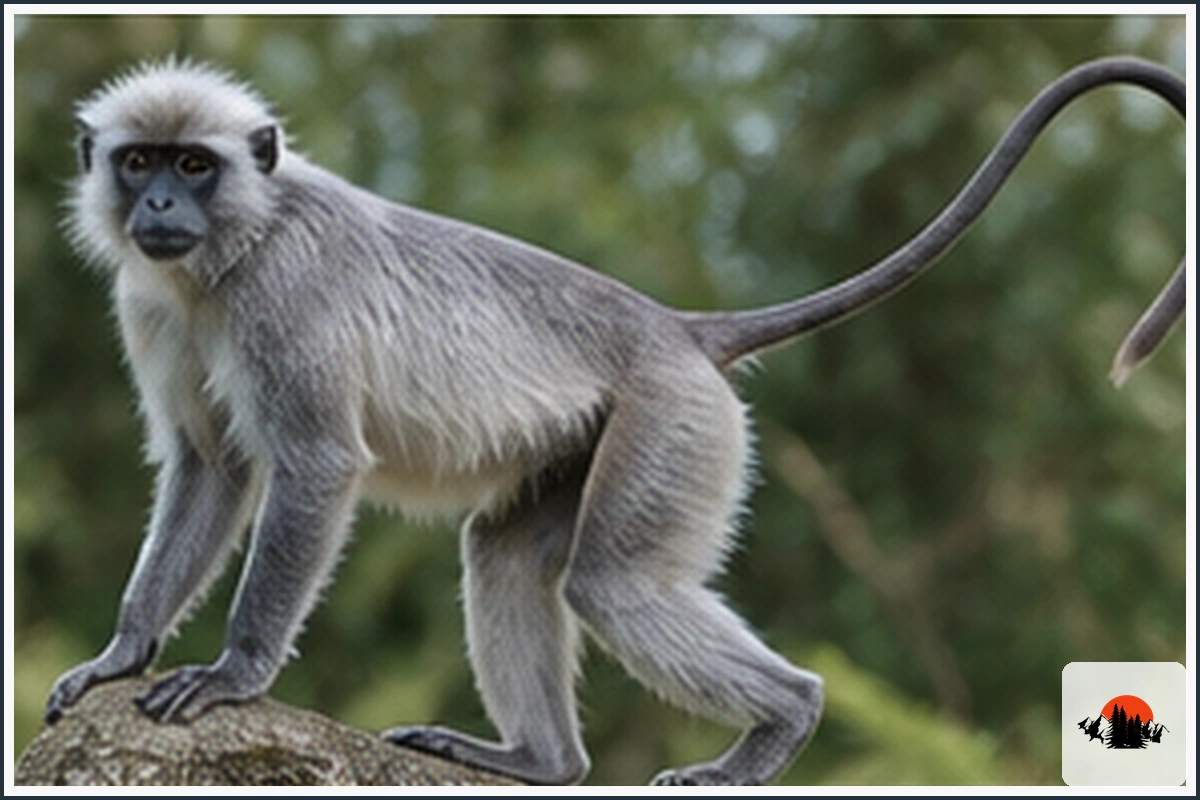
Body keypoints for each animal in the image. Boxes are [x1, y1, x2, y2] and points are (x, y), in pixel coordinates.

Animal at [41, 56, 1183, 785]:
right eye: (140, 163)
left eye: (195, 166)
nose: (159, 211)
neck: (233, 246)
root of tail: (677, 329)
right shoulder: (154, 305)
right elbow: (210, 466)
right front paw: (124, 653)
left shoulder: (286, 292)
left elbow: (316, 466)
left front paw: (234, 675)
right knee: (505, 553)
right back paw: (541, 763)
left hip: (672, 420)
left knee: (614, 583)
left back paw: (781, 723)